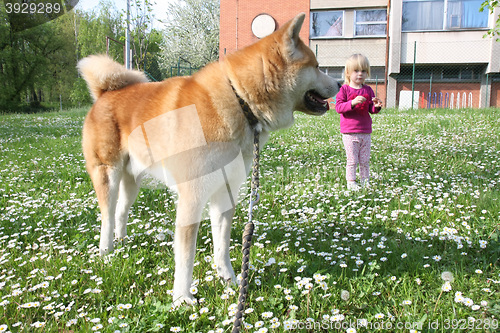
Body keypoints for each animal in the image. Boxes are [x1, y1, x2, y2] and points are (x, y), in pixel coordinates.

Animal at [77, 13, 340, 306]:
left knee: (121, 212)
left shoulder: (225, 192)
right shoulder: (192, 197)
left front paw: (231, 280)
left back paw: (122, 243)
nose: (341, 84)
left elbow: (222, 246)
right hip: (108, 173)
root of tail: (105, 93)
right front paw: (183, 297)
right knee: (108, 215)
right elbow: (186, 256)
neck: (240, 100)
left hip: (133, 179)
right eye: (317, 66)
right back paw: (106, 251)